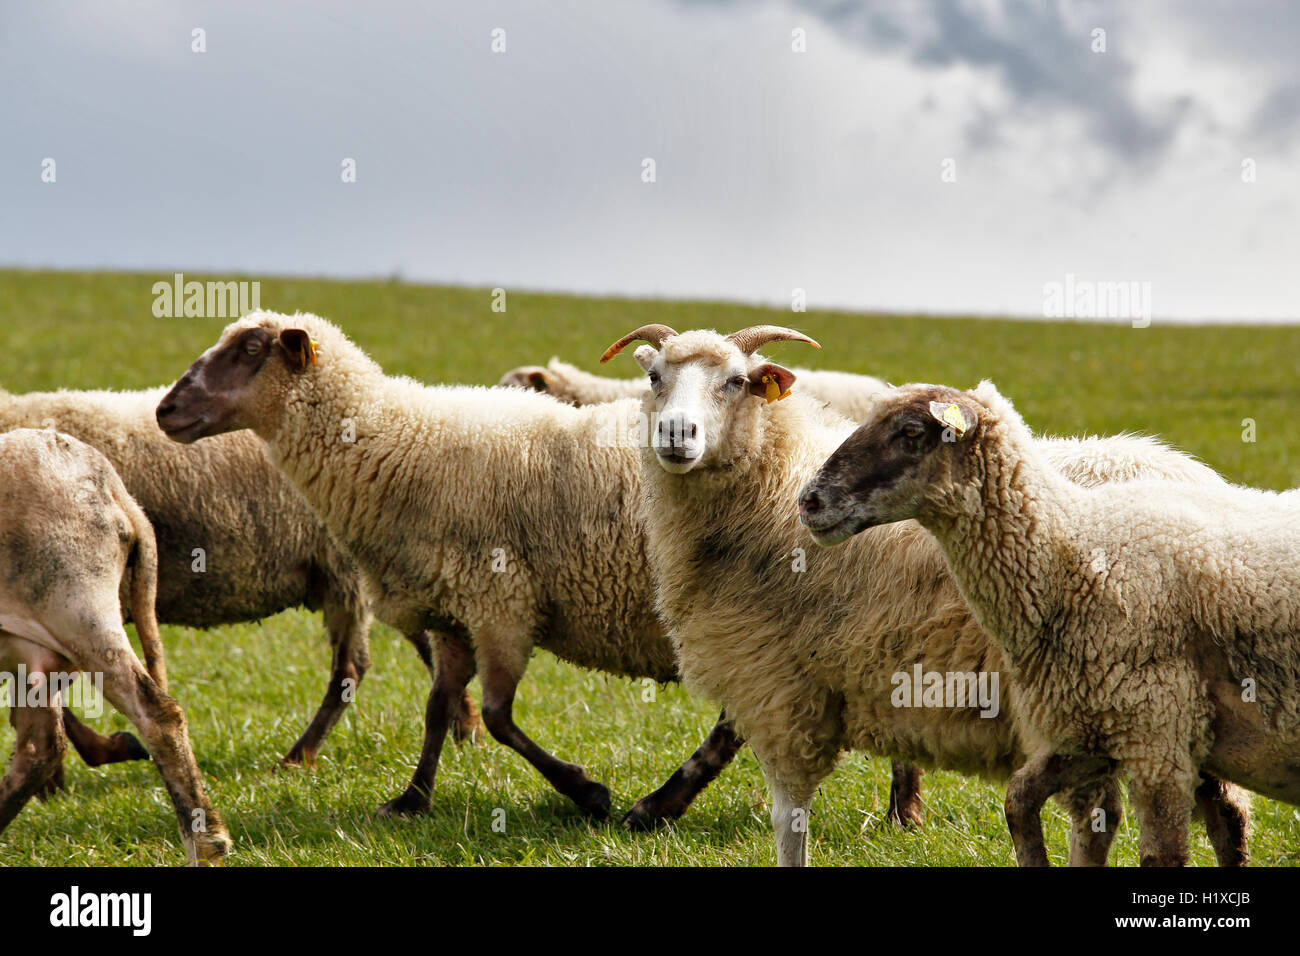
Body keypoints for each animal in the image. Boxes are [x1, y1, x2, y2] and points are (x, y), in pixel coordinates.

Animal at [0, 383, 481, 776]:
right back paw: (466, 728)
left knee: (354, 667)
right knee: (425, 647)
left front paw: (96, 755)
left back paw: (300, 756)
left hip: (346, 575)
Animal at [0, 428, 229, 864]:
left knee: (159, 714)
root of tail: (113, 487)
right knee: (40, 748)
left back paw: (206, 843)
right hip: (34, 648)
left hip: (78, 610)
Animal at [602, 322, 1250, 866]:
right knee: (1224, 812)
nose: (676, 433)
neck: (770, 489)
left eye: (736, 381)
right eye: (654, 377)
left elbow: (788, 823)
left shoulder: (781, 691)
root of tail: (1202, 478)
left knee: (1113, 817)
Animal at [798, 380, 1300, 866]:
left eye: (910, 432)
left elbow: (1163, 855)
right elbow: (1018, 801)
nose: (810, 500)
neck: (1073, 552)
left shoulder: (1159, 738)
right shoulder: (1088, 729)